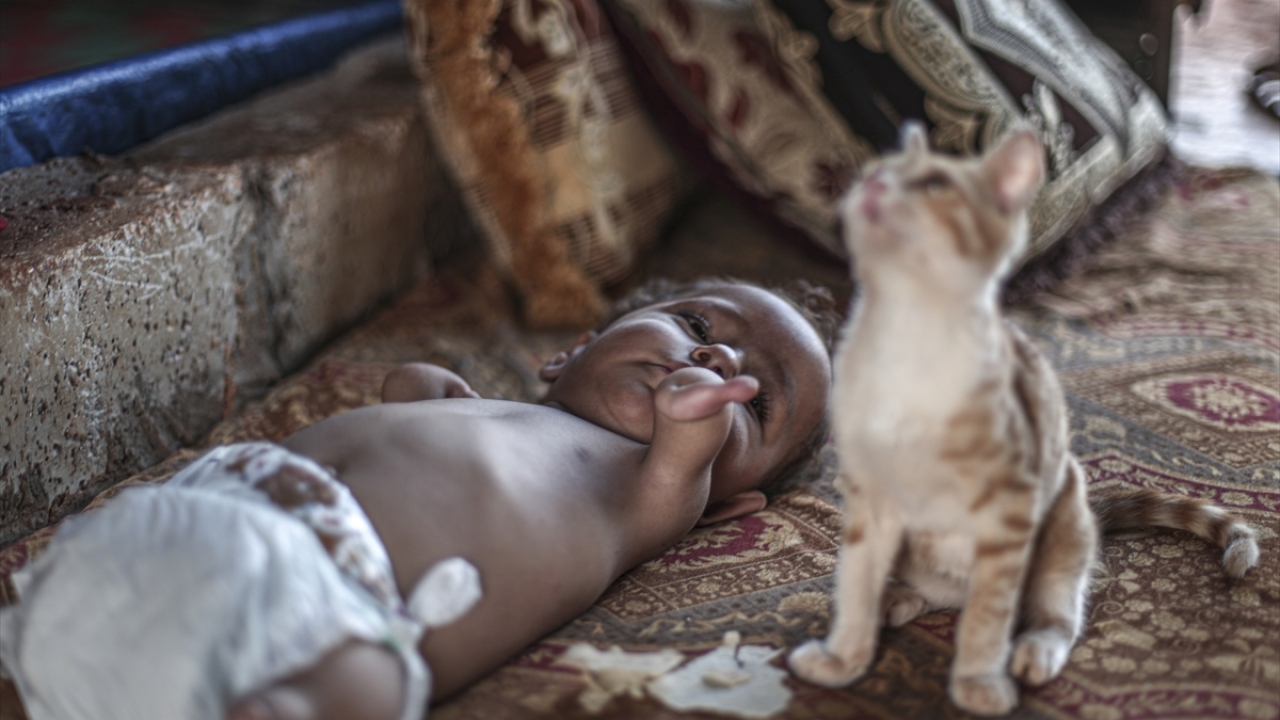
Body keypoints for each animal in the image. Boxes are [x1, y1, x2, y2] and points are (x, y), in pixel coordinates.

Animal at [788, 122, 1259, 712]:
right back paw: (895, 602)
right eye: (876, 171)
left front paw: (977, 682)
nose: (873, 187)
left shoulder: (1008, 509)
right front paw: (845, 658)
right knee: (928, 593)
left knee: (1052, 612)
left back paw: (1034, 650)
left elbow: (987, 618)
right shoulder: (868, 500)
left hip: (1064, 521)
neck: (907, 341)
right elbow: (856, 584)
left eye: (936, 185)